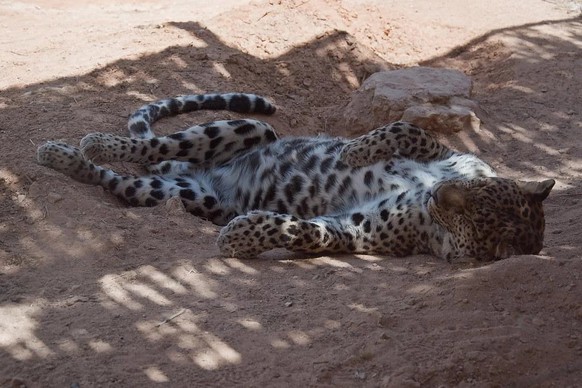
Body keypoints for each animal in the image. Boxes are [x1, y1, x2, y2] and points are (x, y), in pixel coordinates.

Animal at [35, 91, 556, 260]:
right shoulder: (450, 153)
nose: (438, 194)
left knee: (115, 179)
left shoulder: (357, 230)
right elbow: (406, 129)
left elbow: (303, 232)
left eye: (469, 220)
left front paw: (238, 237)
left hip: (178, 193)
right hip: (247, 127)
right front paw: (353, 150)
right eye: (474, 192)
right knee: (152, 145)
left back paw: (65, 155)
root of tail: (206, 175)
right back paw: (88, 142)